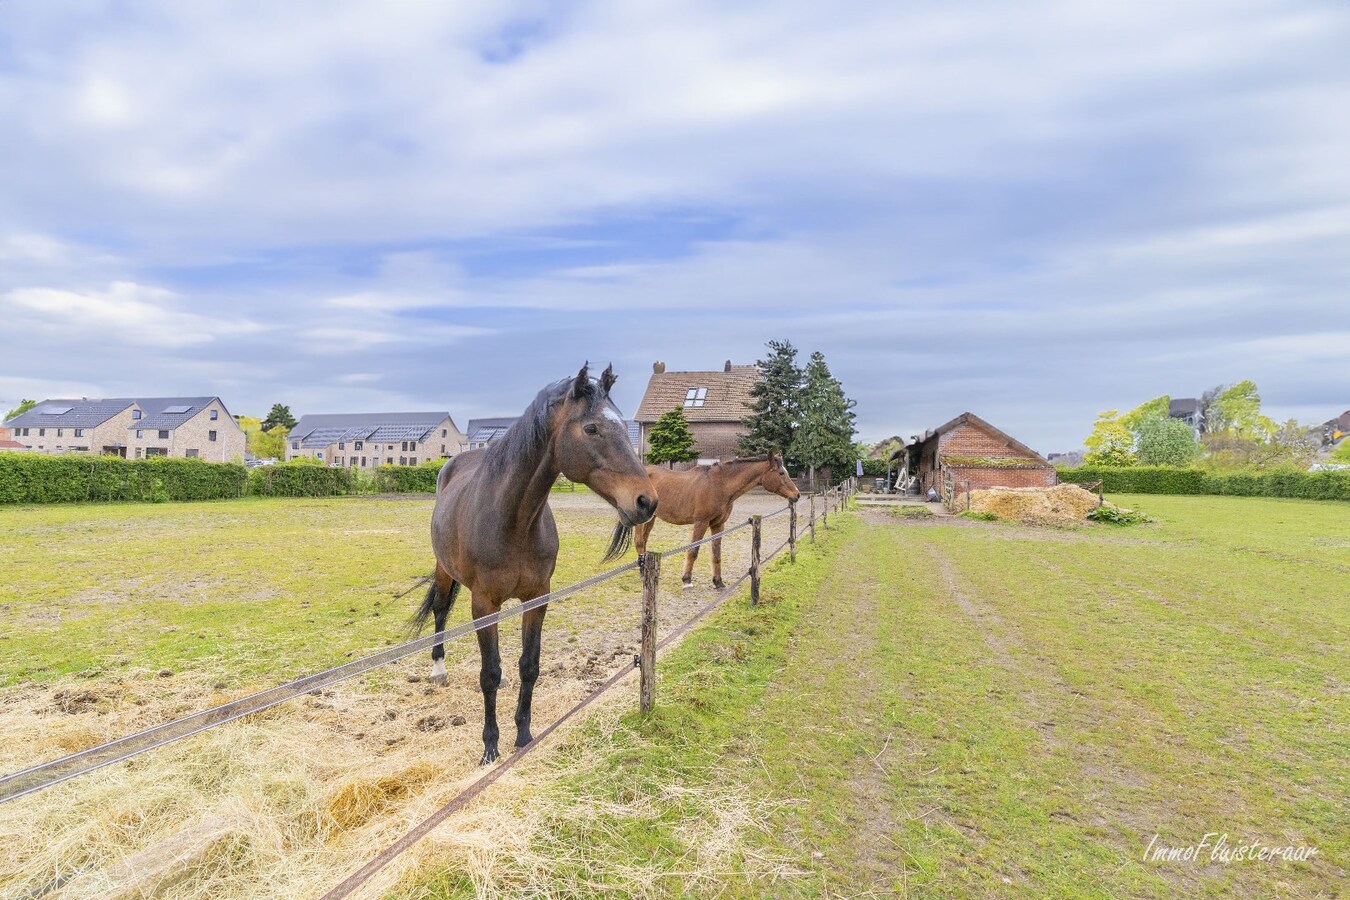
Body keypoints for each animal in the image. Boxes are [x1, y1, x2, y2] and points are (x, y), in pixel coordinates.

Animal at [415, 361, 658, 766]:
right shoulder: (484, 603)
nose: (647, 501)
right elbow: (488, 672)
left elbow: (528, 666)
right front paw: (490, 747)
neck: (514, 519)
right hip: (445, 570)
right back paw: (438, 669)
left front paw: (524, 736)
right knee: (439, 610)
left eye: (626, 427)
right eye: (591, 428)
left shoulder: (537, 599)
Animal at [634, 450, 799, 591]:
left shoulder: (718, 525)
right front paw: (687, 580)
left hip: (652, 519)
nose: (796, 495)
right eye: (781, 473)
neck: (719, 485)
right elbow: (693, 551)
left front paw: (718, 582)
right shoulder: (701, 523)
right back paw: (642, 574)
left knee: (644, 540)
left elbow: (716, 553)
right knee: (639, 542)